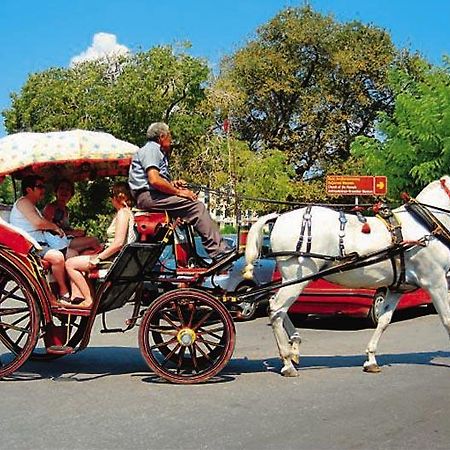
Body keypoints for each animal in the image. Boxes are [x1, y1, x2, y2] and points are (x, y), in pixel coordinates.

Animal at [244, 176, 450, 376]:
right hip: (296, 278)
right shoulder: (436, 281)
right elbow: (447, 319)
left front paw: (371, 359)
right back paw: (287, 361)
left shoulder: (396, 288)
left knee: (275, 305)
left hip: (292, 280)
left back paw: (294, 346)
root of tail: (279, 217)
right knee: (276, 309)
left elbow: (383, 321)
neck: (425, 228)